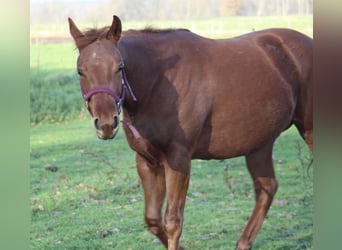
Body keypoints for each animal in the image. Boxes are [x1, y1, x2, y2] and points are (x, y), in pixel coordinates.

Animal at [67, 14, 312, 249]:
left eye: (119, 66)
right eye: (80, 71)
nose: (106, 123)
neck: (158, 82)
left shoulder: (178, 159)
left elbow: (173, 221)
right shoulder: (147, 161)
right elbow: (152, 219)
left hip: (308, 131)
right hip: (259, 144)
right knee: (267, 188)